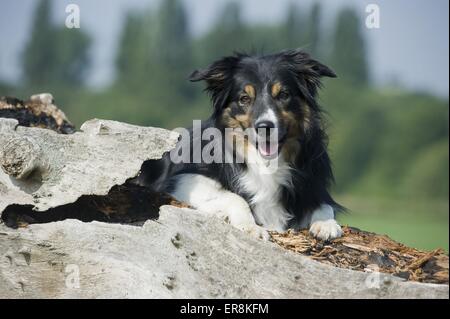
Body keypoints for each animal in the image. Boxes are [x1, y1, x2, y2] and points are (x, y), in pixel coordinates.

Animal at [141, 48, 344, 241]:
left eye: (284, 95)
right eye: (244, 98)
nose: (264, 127)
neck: (266, 162)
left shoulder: (314, 184)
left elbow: (324, 205)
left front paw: (326, 224)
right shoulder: (182, 180)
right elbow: (236, 197)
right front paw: (250, 226)